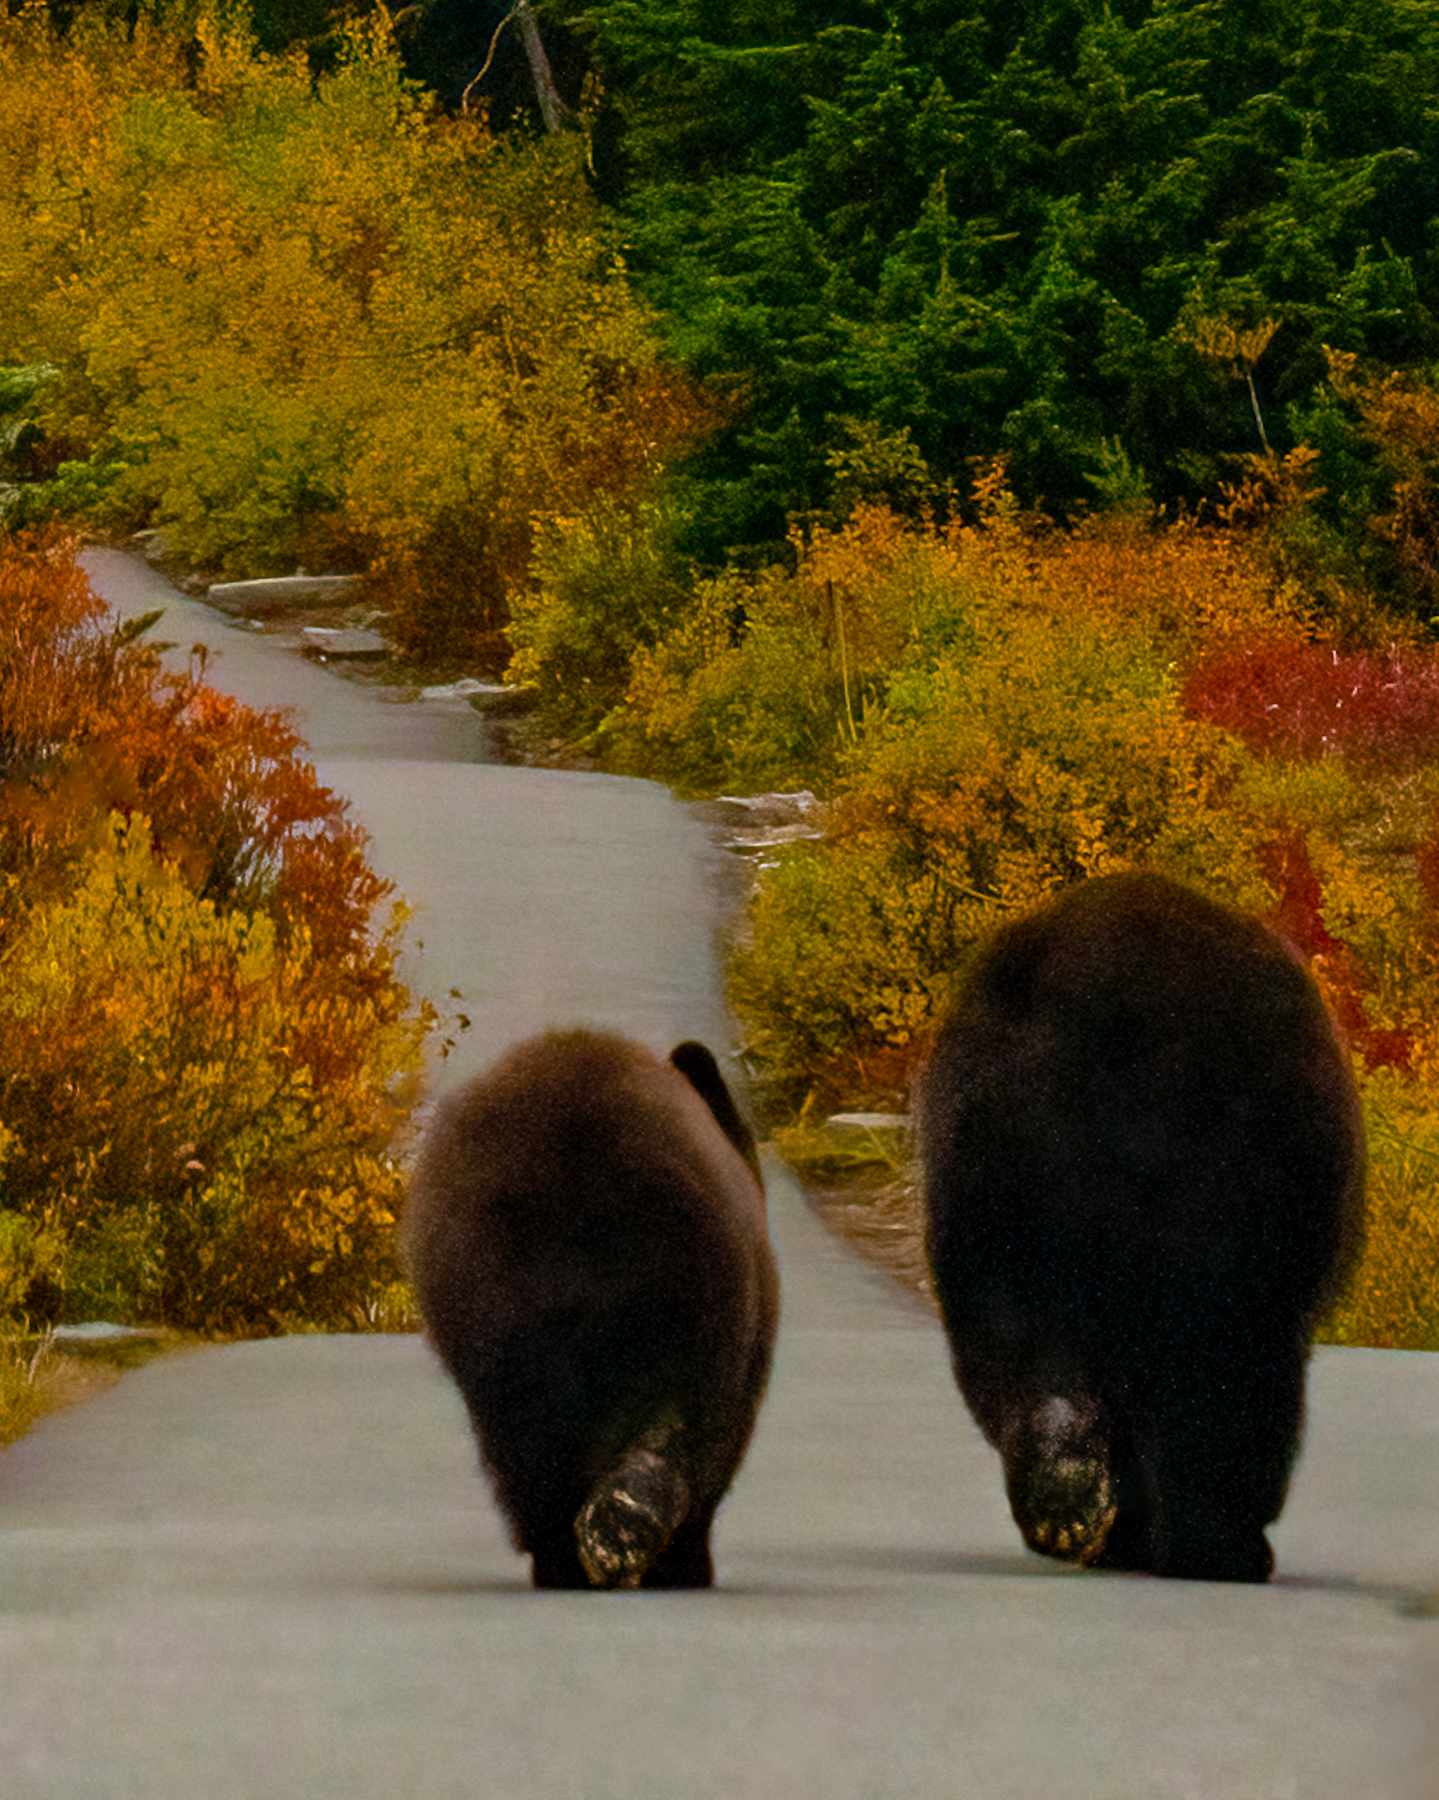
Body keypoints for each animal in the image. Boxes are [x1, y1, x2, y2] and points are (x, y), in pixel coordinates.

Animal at [915, 871, 1365, 1583]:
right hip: (1223, 1176)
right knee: (1224, 1360)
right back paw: (1218, 1545)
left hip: (987, 1170)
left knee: (1010, 1331)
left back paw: (1060, 1482)